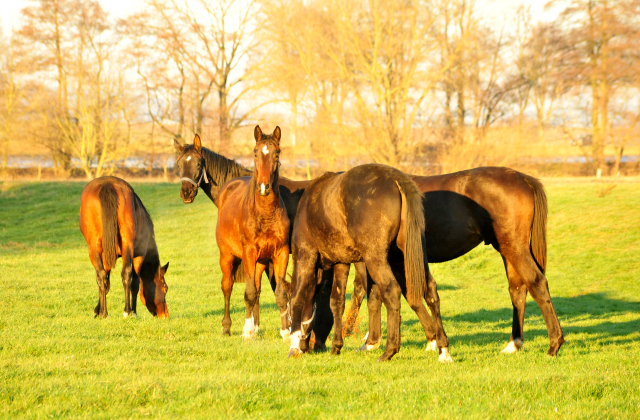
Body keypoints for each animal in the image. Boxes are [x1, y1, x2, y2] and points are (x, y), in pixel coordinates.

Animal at [79, 176, 170, 318]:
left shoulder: (106, 257)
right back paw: (127, 311)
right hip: (127, 245)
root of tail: (107, 185)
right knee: (127, 274)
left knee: (102, 275)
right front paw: (134, 311)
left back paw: (105, 313)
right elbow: (135, 283)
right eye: (165, 288)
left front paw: (98, 310)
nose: (166, 315)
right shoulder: (139, 254)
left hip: (94, 247)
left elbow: (105, 282)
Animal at [216, 126, 292, 340]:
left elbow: (280, 292)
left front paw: (286, 332)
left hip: (260, 262)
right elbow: (248, 293)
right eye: (256, 153)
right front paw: (248, 332)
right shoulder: (249, 252)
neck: (265, 214)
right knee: (228, 287)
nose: (264, 187)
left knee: (256, 288)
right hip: (227, 256)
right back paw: (228, 327)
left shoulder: (280, 252)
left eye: (277, 153)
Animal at [288, 162, 452, 362]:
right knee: (430, 290)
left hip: (376, 259)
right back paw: (443, 349)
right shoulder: (342, 263)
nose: (311, 346)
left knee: (392, 290)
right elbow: (337, 302)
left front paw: (294, 345)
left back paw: (389, 350)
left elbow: (297, 298)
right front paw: (336, 346)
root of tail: (397, 179)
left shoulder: (305, 256)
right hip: (408, 257)